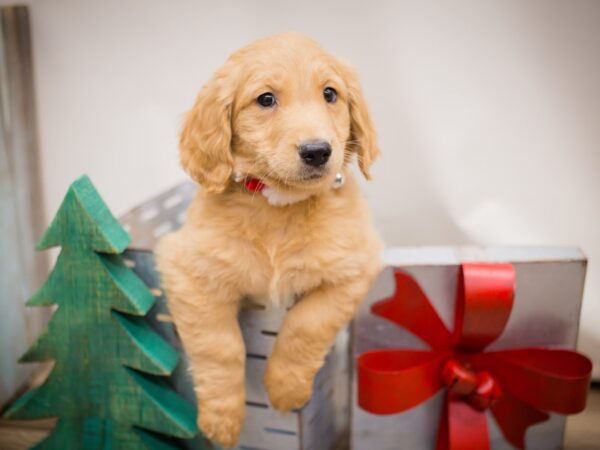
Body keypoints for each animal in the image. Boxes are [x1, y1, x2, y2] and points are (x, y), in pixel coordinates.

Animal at [157, 32, 382, 446]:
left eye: (330, 94)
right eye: (265, 99)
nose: (317, 151)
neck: (280, 207)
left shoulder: (357, 266)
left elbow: (307, 324)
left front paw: (284, 388)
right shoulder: (187, 269)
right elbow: (219, 345)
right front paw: (223, 419)